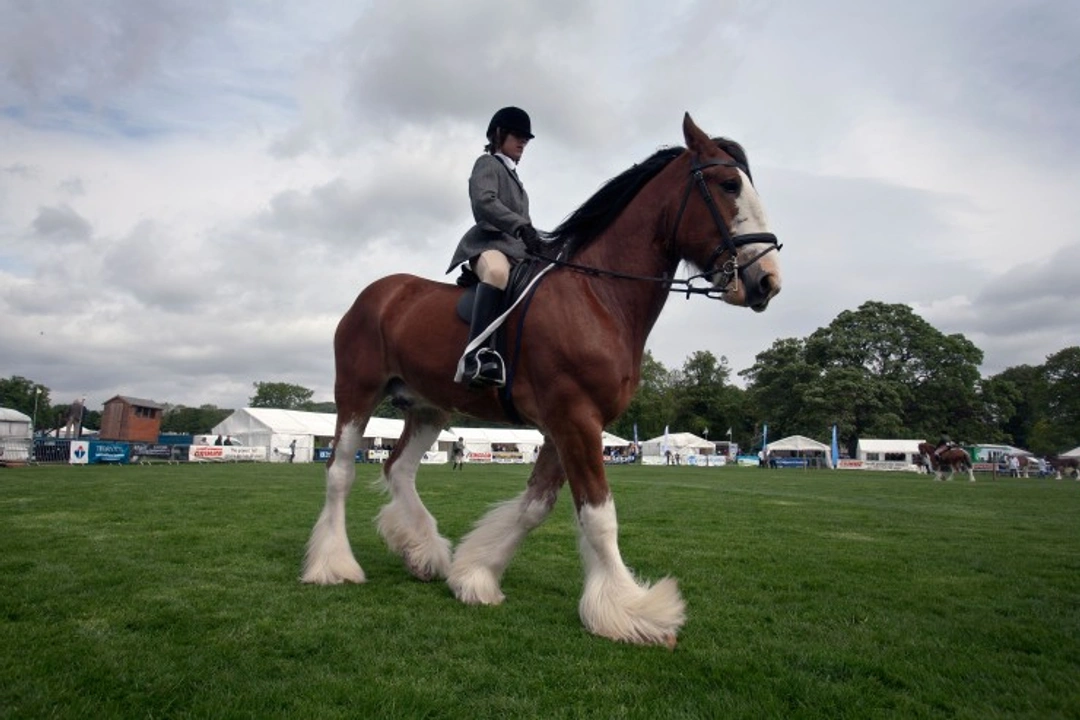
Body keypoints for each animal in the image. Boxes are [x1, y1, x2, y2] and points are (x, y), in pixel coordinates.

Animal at [301, 113, 782, 647]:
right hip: (357, 395)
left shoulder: (567, 423)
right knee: (340, 472)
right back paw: (333, 566)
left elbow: (535, 507)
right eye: (728, 185)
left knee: (398, 470)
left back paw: (424, 552)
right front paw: (630, 611)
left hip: (429, 408)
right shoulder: (575, 418)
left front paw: (475, 575)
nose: (767, 281)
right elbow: (599, 516)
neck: (598, 296)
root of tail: (376, 293)